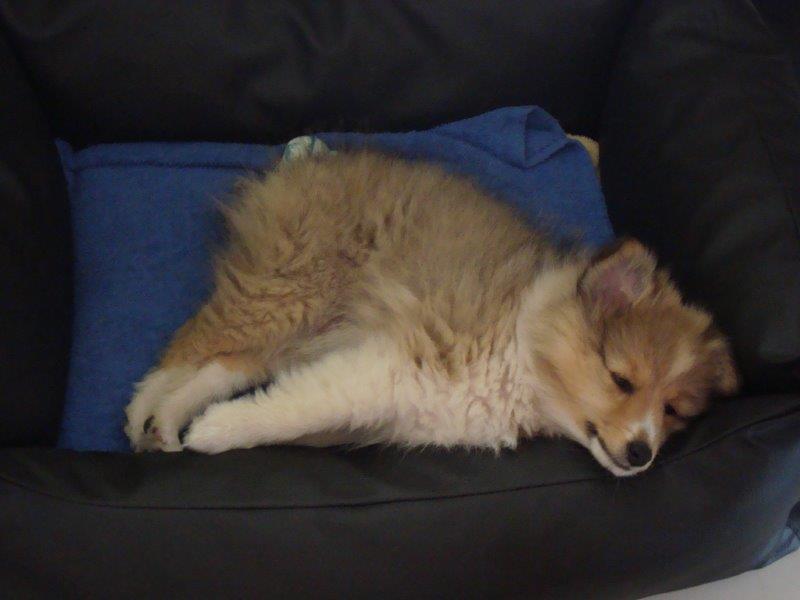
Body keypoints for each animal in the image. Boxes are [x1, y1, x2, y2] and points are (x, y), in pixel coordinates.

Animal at [124, 150, 738, 476]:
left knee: (220, 367)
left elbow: (293, 405)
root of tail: (307, 159)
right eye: (620, 379)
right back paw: (145, 418)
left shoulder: (397, 398)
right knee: (184, 349)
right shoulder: (387, 363)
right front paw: (215, 433)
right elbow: (286, 409)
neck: (522, 357)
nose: (640, 453)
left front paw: (210, 429)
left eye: (674, 411)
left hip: (299, 322)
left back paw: (168, 421)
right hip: (286, 293)